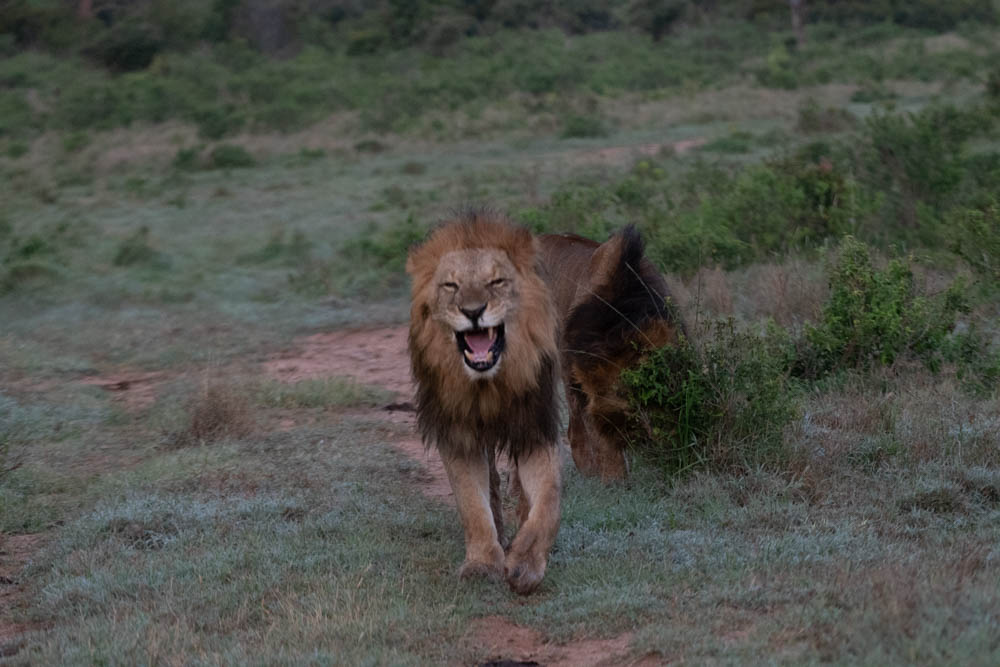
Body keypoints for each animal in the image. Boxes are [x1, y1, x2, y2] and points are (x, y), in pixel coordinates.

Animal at [406, 210, 561, 595]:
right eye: (451, 286)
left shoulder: (535, 425)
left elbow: (549, 499)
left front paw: (526, 563)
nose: (473, 311)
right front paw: (481, 563)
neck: (490, 385)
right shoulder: (458, 434)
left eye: (496, 281)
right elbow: (472, 505)